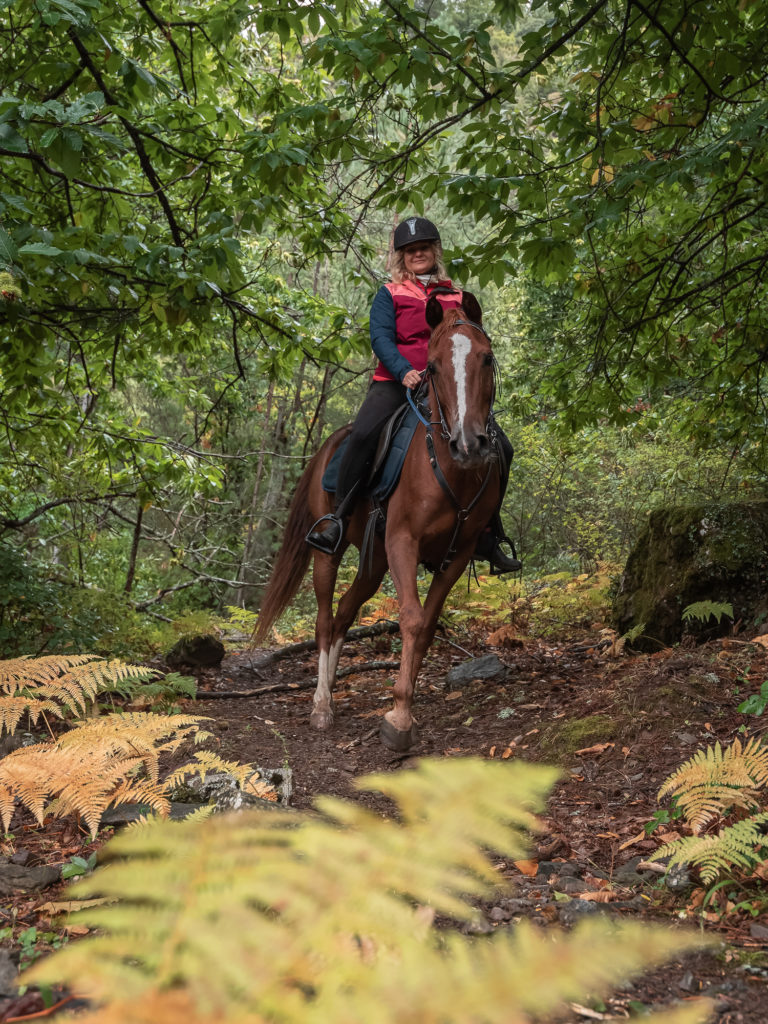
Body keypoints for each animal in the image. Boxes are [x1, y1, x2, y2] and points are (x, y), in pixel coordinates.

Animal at [253, 292, 505, 749]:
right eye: (433, 366)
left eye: (487, 358)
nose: (469, 445)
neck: (448, 468)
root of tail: (330, 444)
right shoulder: (402, 541)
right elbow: (411, 618)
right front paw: (399, 716)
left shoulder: (458, 554)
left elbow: (427, 626)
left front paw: (405, 704)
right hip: (330, 553)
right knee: (324, 618)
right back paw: (321, 705)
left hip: (374, 563)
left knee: (344, 614)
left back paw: (333, 686)